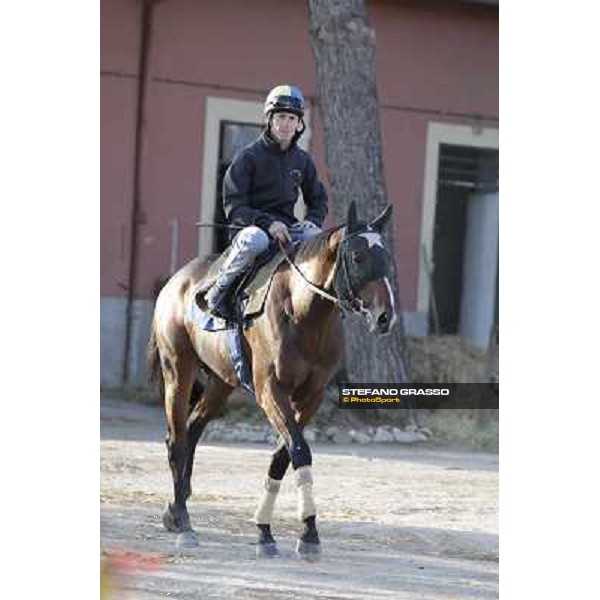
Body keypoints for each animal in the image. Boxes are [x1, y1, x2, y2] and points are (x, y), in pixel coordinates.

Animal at [148, 202, 396, 556]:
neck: (303, 313)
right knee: (177, 440)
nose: (385, 316)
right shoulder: (270, 391)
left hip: (221, 383)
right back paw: (183, 521)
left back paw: (175, 506)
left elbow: (284, 455)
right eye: (358, 256)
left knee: (193, 430)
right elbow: (299, 450)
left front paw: (278, 530)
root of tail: (175, 282)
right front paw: (296, 532)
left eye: (386, 257)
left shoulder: (311, 395)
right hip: (178, 370)